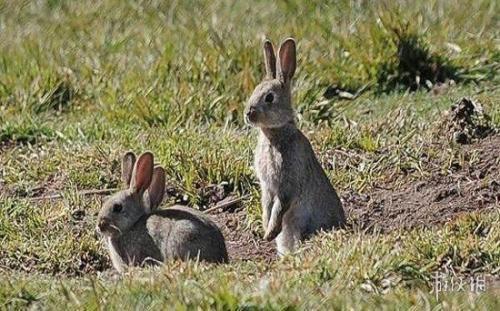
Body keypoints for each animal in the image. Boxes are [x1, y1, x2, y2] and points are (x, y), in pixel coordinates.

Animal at [244, 37, 346, 256]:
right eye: (255, 90)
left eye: (269, 97)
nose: (248, 113)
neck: (274, 134)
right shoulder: (267, 187)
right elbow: (266, 205)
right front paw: (266, 230)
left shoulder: (287, 183)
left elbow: (280, 206)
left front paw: (269, 233)